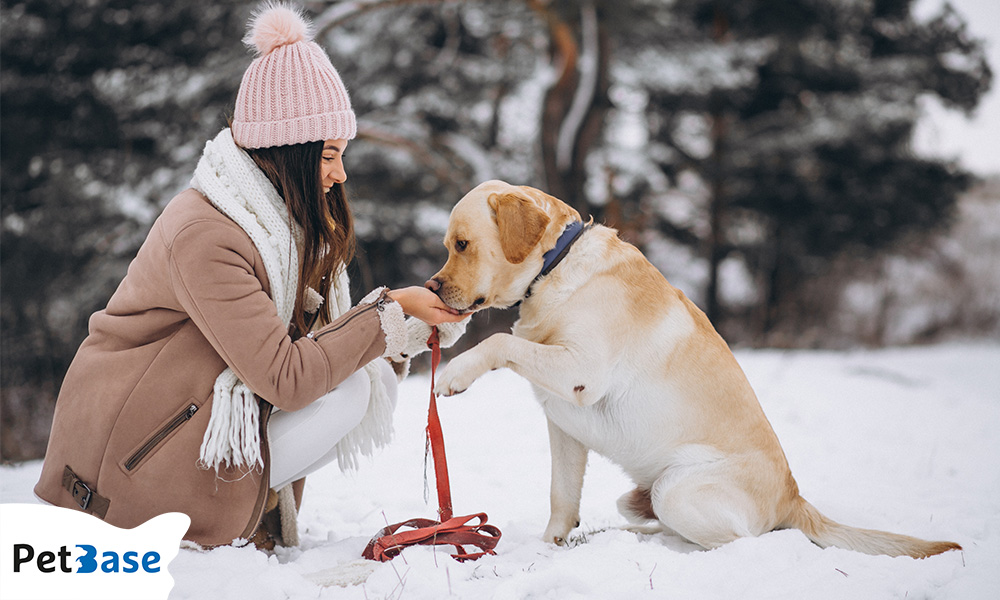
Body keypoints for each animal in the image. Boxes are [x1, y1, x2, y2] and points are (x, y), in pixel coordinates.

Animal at [428, 178, 960, 556]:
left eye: (462, 244)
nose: (431, 287)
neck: (553, 269)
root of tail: (794, 497)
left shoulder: (582, 370)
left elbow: (499, 340)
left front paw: (455, 374)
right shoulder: (564, 428)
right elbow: (562, 497)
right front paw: (548, 548)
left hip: (676, 490)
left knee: (744, 542)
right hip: (643, 496)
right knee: (666, 529)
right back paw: (618, 535)